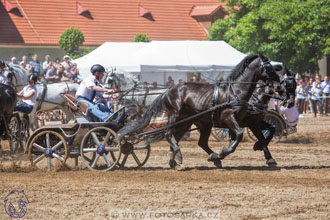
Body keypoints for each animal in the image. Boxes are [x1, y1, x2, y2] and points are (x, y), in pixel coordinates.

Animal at [118, 54, 286, 169]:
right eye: (269, 68)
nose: (279, 86)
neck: (236, 91)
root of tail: (167, 91)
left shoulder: (246, 120)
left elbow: (263, 132)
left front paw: (263, 152)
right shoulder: (229, 117)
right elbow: (238, 135)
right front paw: (224, 151)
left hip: (192, 122)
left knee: (193, 140)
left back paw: (183, 158)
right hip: (176, 116)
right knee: (168, 134)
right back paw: (181, 156)